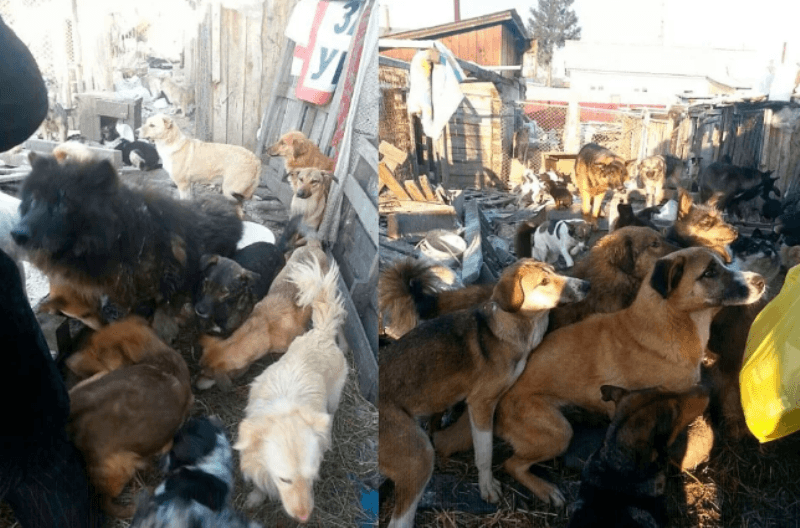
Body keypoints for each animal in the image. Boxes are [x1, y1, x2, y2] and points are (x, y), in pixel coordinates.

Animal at [235, 257, 347, 523]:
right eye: (284, 479)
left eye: (312, 476)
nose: (304, 518)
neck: (284, 412)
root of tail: (322, 333)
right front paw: (256, 497)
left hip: (334, 397)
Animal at [380, 260, 590, 528]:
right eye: (543, 281)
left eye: (555, 271)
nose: (587, 285)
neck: (514, 326)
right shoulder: (481, 403)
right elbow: (485, 452)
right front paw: (487, 487)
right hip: (419, 457)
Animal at [435, 247, 765, 506]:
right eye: (710, 272)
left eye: (722, 264)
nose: (760, 281)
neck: (666, 324)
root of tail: (497, 397)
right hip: (558, 432)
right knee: (510, 463)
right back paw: (546, 490)